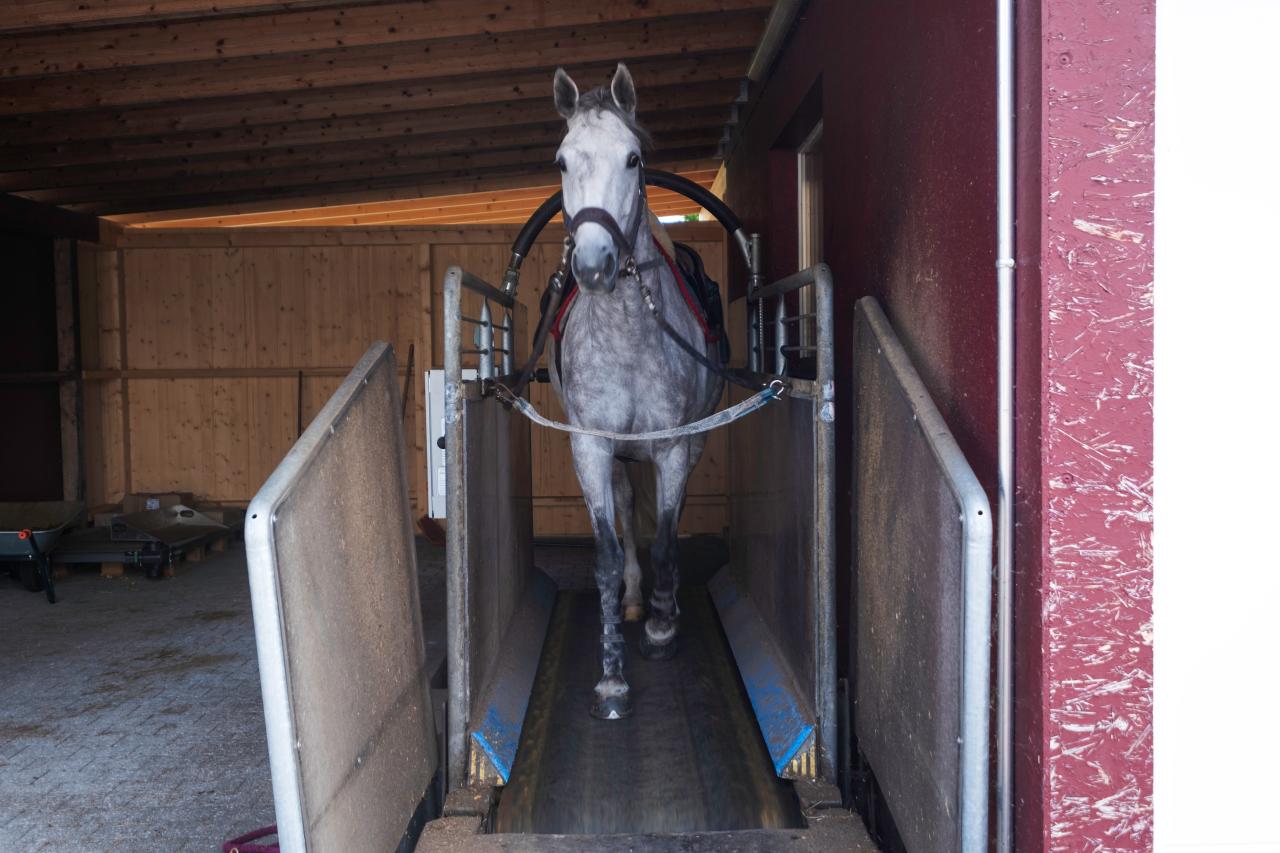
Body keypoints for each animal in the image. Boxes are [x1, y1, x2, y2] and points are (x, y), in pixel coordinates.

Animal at [548, 63, 725, 720]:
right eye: (562, 161)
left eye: (632, 158)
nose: (595, 266)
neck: (627, 335)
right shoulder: (591, 448)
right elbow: (603, 554)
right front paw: (611, 678)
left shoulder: (673, 446)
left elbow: (670, 541)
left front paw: (661, 629)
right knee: (626, 512)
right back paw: (631, 597)